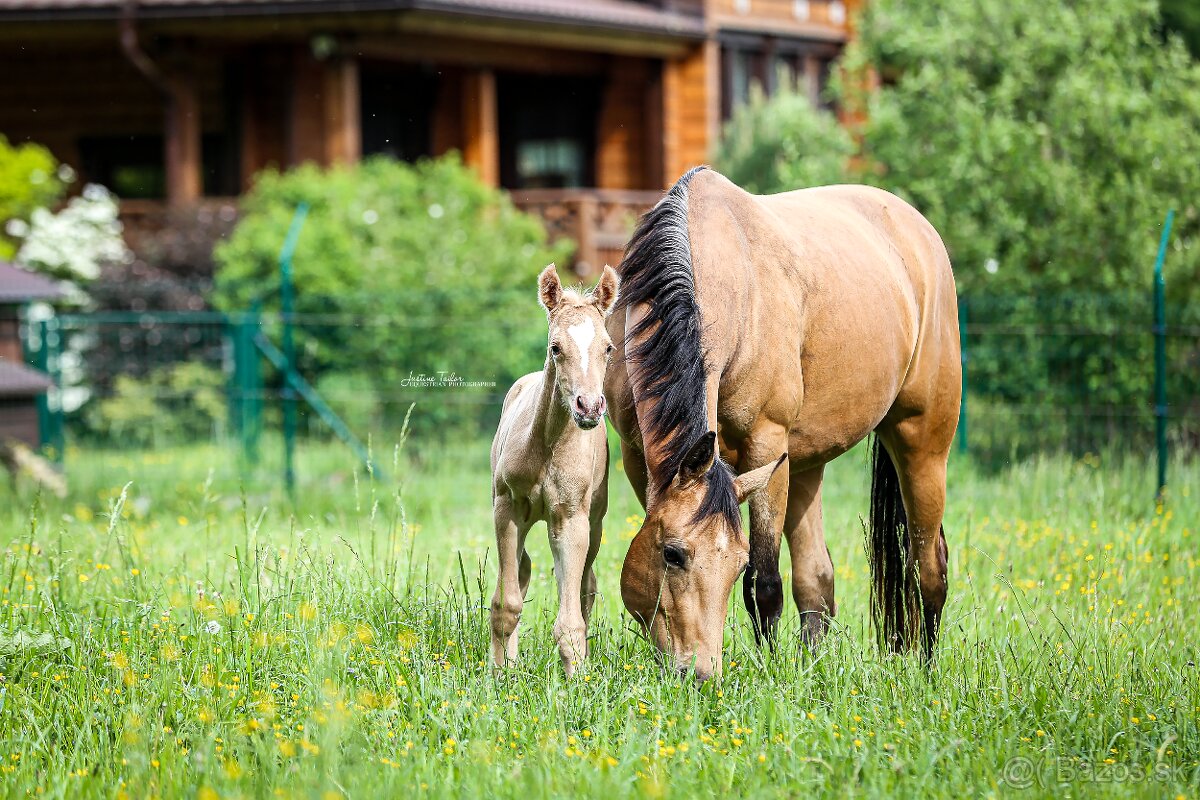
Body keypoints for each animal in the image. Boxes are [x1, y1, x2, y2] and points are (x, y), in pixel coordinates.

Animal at [487, 262, 619, 676]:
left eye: (608, 347)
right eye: (555, 347)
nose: (589, 407)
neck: (547, 445)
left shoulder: (572, 518)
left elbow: (571, 618)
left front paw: (577, 681)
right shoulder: (507, 507)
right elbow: (507, 602)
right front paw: (501, 676)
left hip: (595, 523)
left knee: (584, 586)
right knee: (522, 571)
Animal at [604, 169, 960, 681]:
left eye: (735, 562)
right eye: (672, 554)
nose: (700, 672)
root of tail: (921, 233)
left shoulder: (766, 445)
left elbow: (765, 581)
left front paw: (769, 673)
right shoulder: (639, 457)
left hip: (922, 442)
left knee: (928, 568)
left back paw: (924, 673)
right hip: (806, 463)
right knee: (817, 579)